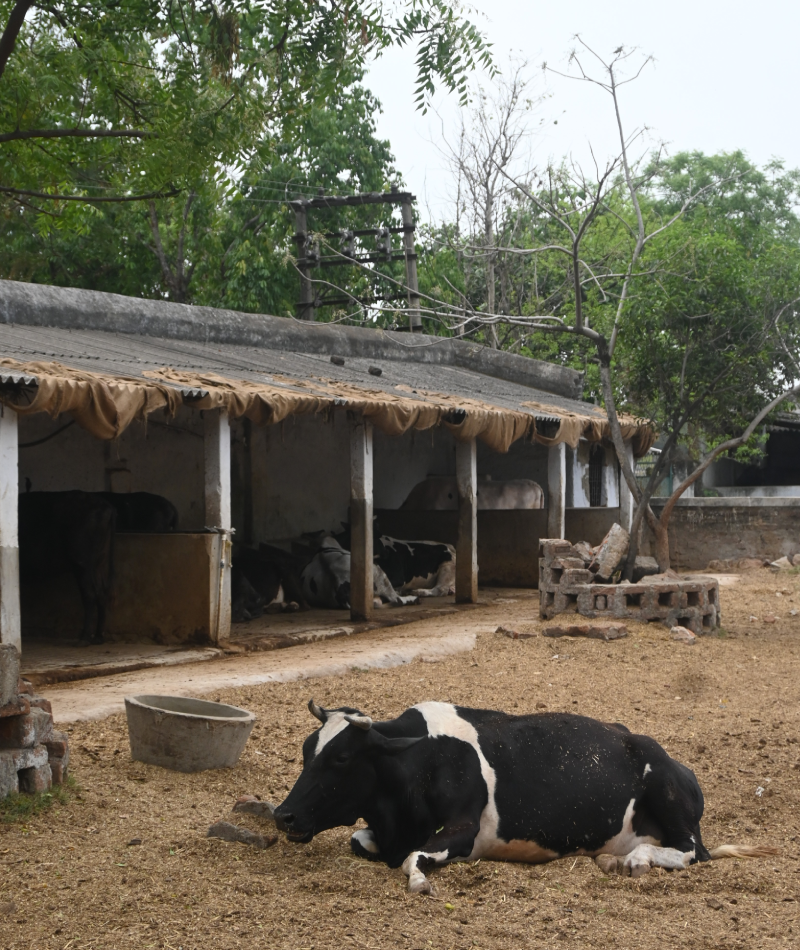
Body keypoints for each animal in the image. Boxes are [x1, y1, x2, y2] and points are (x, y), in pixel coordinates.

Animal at [19, 491, 117, 644]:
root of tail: (106, 505)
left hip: (81, 564)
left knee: (89, 595)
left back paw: (84, 638)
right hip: (99, 562)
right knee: (101, 593)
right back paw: (98, 637)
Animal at [272, 701, 777, 894]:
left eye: (340, 758)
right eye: (306, 751)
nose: (283, 815)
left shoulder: (463, 828)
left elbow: (414, 860)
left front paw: (419, 881)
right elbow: (359, 842)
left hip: (667, 791)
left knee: (693, 852)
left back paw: (633, 862)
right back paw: (613, 858)